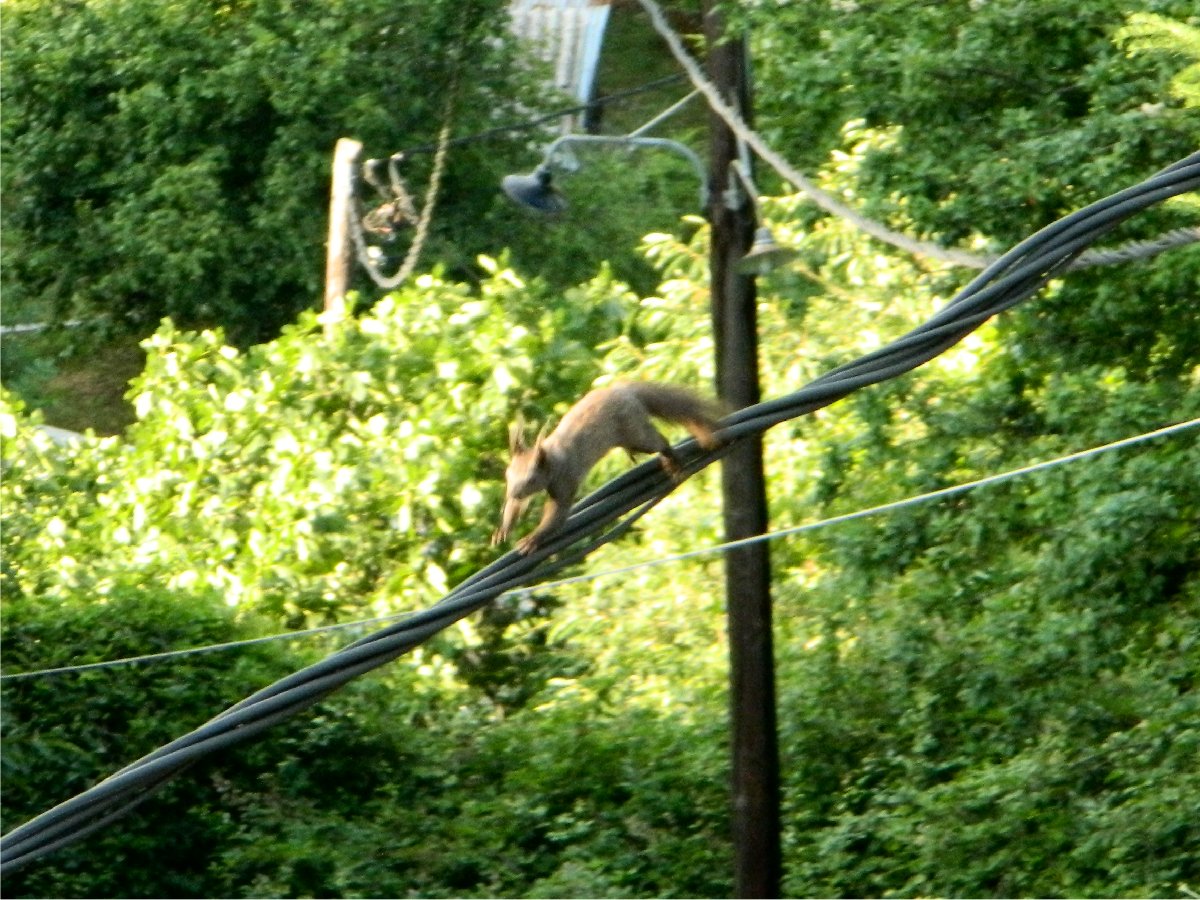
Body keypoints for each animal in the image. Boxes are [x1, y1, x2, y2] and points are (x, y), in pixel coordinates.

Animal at [489, 381, 720, 556]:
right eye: (508, 475)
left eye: (531, 479)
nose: (512, 492)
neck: (552, 459)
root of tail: (626, 391)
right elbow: (516, 507)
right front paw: (503, 529)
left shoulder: (565, 478)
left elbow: (557, 513)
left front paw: (532, 539)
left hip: (635, 431)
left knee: (658, 441)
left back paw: (671, 460)